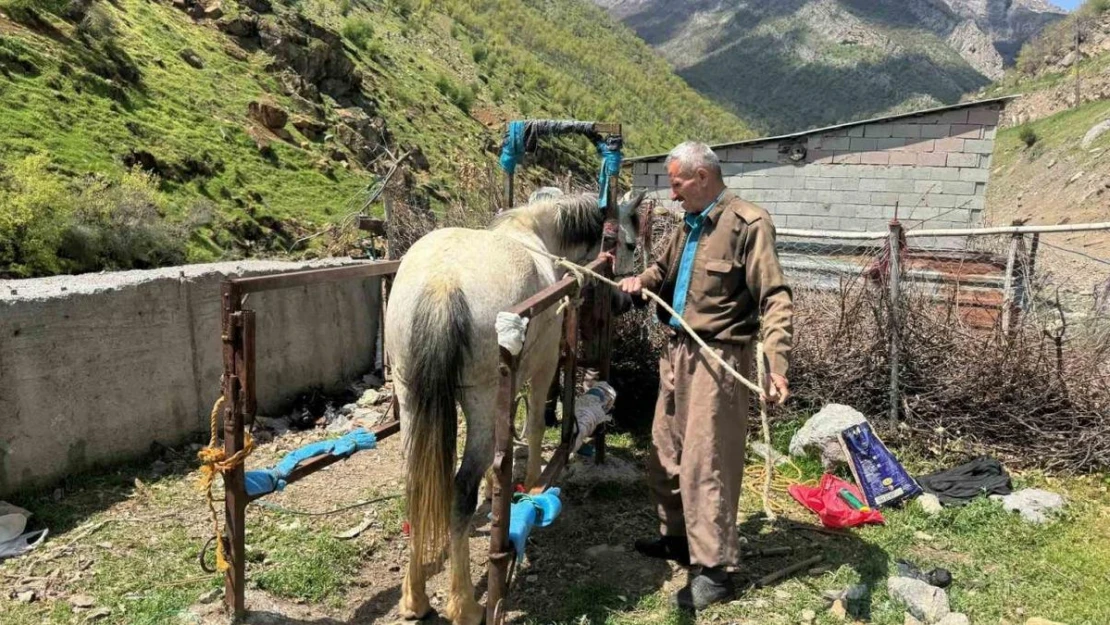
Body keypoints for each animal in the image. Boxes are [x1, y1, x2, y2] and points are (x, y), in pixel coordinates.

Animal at [386, 193, 643, 621]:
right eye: (629, 244)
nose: (624, 299)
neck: (535, 233)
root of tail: (441, 284)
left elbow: (500, 454)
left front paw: (500, 492)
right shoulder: (542, 368)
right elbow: (537, 425)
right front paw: (534, 485)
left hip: (410, 398)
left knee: (417, 483)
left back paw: (415, 598)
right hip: (479, 402)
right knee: (460, 491)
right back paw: (465, 606)